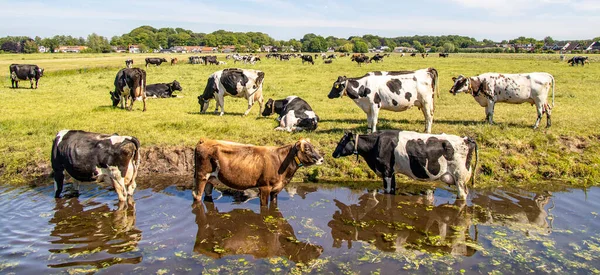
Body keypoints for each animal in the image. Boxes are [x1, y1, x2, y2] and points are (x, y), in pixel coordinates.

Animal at [192, 138, 324, 207]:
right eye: (307, 149)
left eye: (313, 147)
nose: (321, 159)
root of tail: (205, 140)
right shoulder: (265, 187)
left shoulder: (276, 189)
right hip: (201, 176)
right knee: (197, 196)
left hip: (211, 179)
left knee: (207, 195)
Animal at [332, 130, 478, 199]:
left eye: (342, 141)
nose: (333, 154)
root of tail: (467, 139)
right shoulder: (392, 172)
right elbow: (392, 190)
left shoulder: (386, 171)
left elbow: (387, 191)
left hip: (460, 177)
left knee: (462, 195)